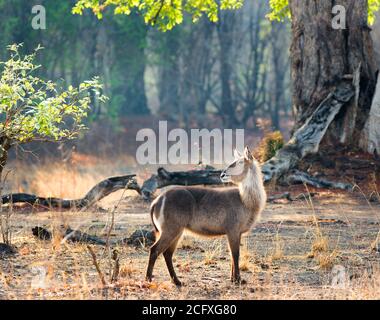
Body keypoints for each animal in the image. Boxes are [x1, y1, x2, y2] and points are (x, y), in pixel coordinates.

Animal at [145, 147, 268, 284]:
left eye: (240, 162)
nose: (222, 174)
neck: (245, 200)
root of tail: (157, 201)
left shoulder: (236, 232)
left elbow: (232, 255)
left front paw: (233, 279)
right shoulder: (233, 230)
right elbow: (235, 254)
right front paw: (238, 280)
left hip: (176, 231)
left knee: (167, 253)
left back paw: (177, 281)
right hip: (171, 229)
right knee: (155, 250)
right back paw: (149, 278)